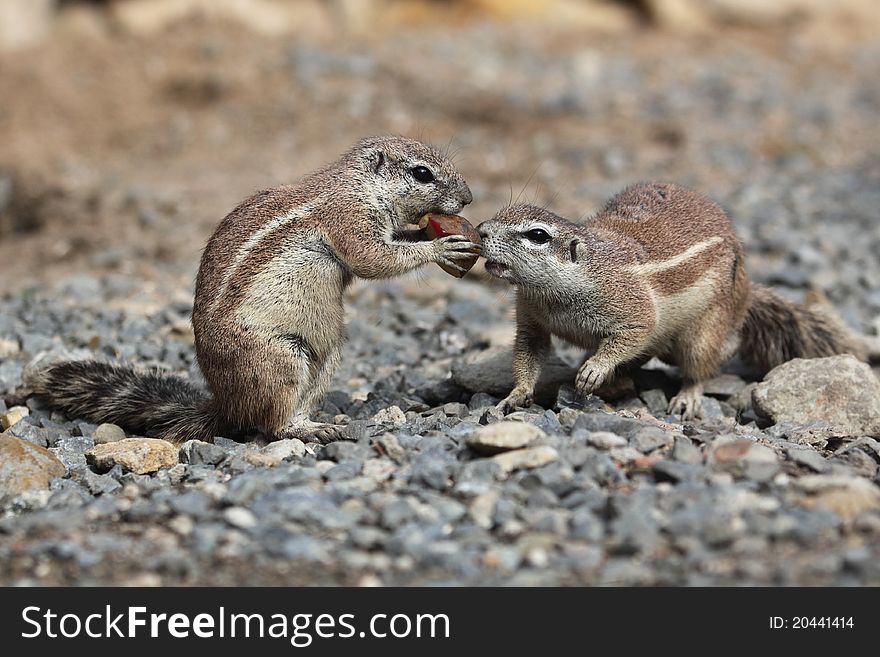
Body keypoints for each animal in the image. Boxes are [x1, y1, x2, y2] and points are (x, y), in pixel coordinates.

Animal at [27, 136, 478, 444]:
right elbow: (374, 259)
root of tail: (224, 402)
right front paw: (440, 246)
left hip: (325, 356)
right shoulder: (347, 219)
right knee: (271, 425)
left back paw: (318, 424)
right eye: (422, 173)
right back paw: (302, 433)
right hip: (278, 359)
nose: (470, 197)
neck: (358, 185)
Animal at [478, 182, 876, 418]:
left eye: (537, 235)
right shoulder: (531, 318)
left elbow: (636, 330)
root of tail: (746, 293)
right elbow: (528, 355)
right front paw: (516, 394)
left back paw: (685, 396)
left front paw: (595, 369)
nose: (480, 230)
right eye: (500, 214)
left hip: (706, 328)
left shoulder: (631, 304)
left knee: (705, 362)